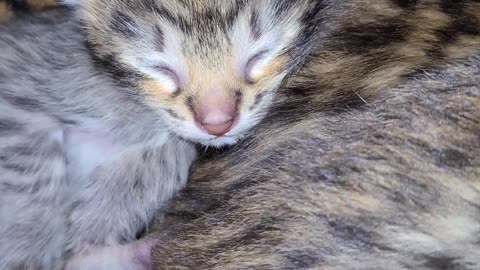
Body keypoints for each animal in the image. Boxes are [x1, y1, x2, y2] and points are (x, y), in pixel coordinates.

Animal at [0, 1, 322, 268]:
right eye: (161, 68)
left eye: (259, 57)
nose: (218, 123)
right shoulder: (17, 101)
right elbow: (33, 178)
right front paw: (28, 254)